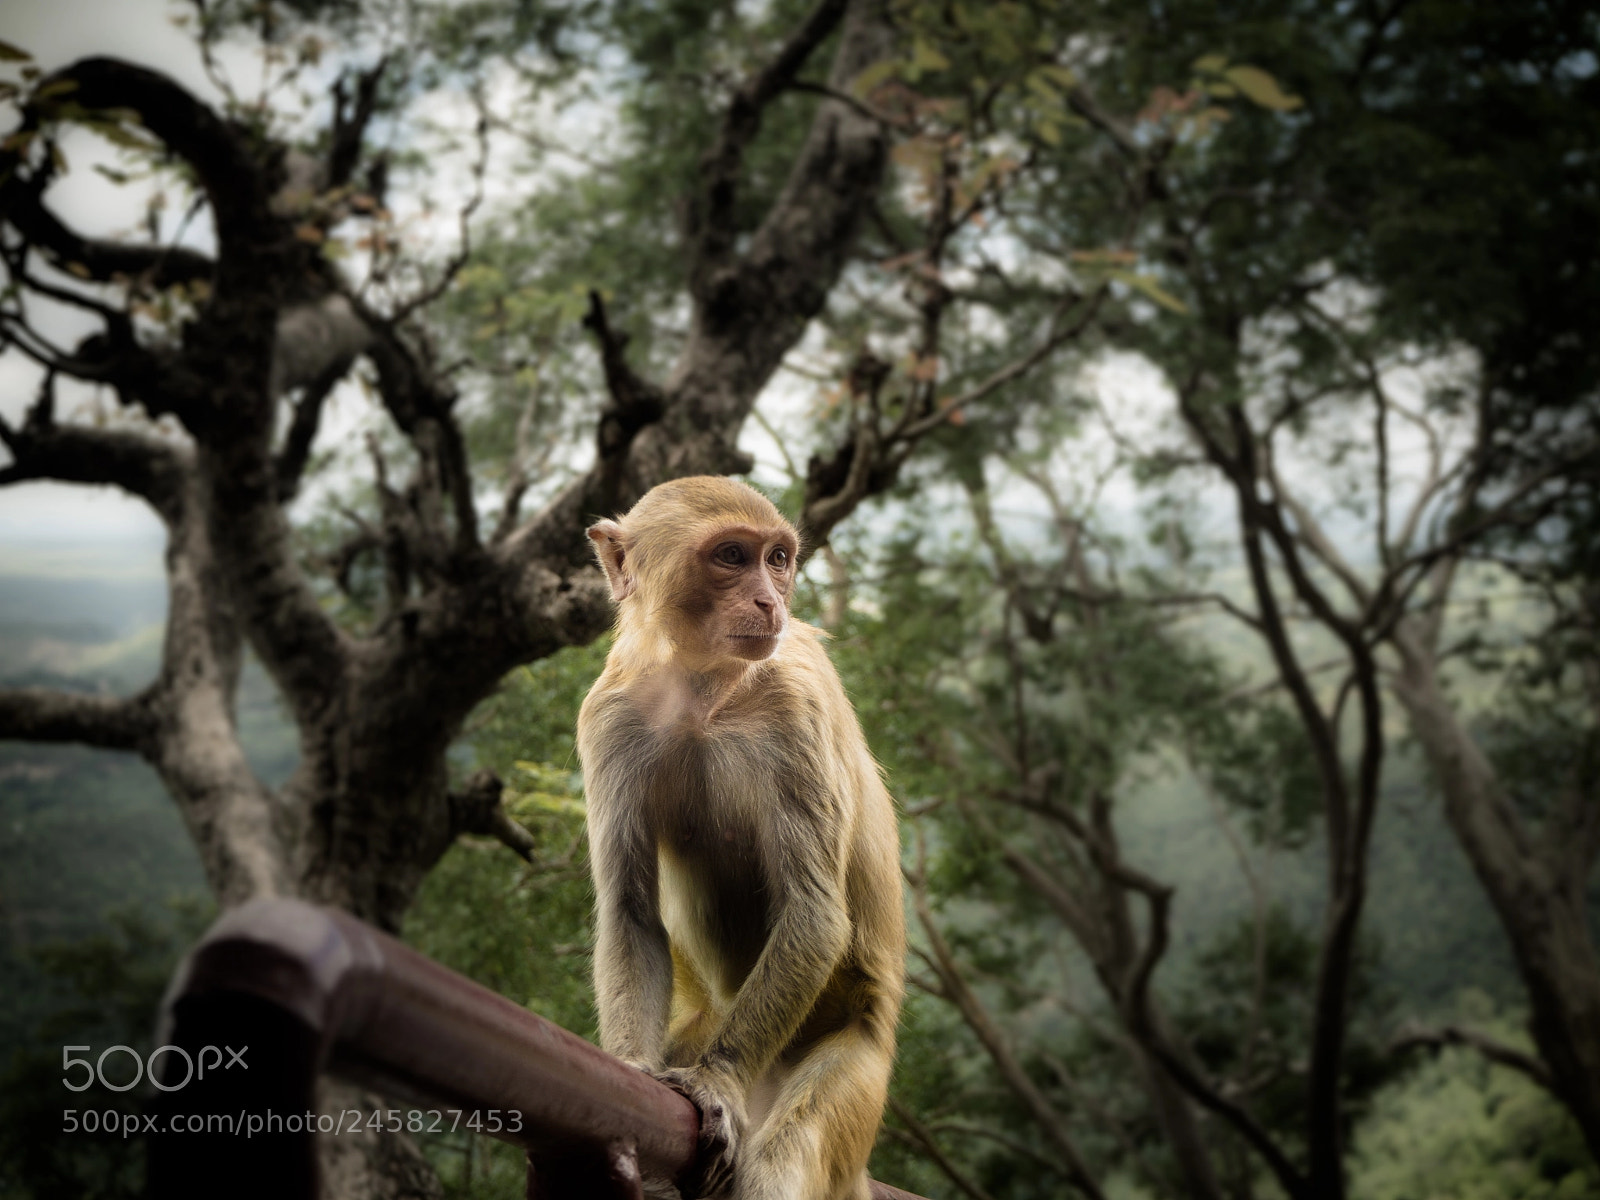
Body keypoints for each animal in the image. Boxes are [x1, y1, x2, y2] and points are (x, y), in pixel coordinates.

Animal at [576, 476, 905, 1200]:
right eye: (731, 556)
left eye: (777, 559)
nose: (769, 600)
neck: (704, 687)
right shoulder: (609, 718)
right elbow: (631, 911)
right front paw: (632, 1067)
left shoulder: (796, 710)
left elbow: (813, 911)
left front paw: (717, 1081)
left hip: (858, 1066)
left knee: (784, 1155)